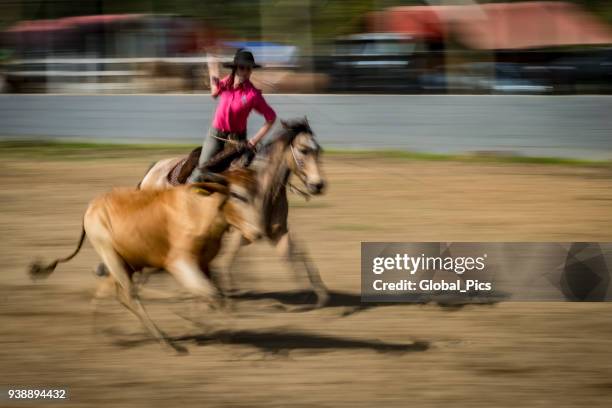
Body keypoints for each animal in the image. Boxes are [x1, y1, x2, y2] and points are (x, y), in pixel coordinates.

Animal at [29, 167, 260, 352]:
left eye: (257, 192)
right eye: (237, 195)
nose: (257, 233)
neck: (198, 210)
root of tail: (91, 207)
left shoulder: (204, 265)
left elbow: (208, 295)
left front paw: (204, 327)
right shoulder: (180, 264)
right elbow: (212, 294)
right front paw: (223, 333)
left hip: (127, 264)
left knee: (110, 292)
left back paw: (104, 332)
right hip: (112, 257)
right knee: (130, 295)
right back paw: (166, 342)